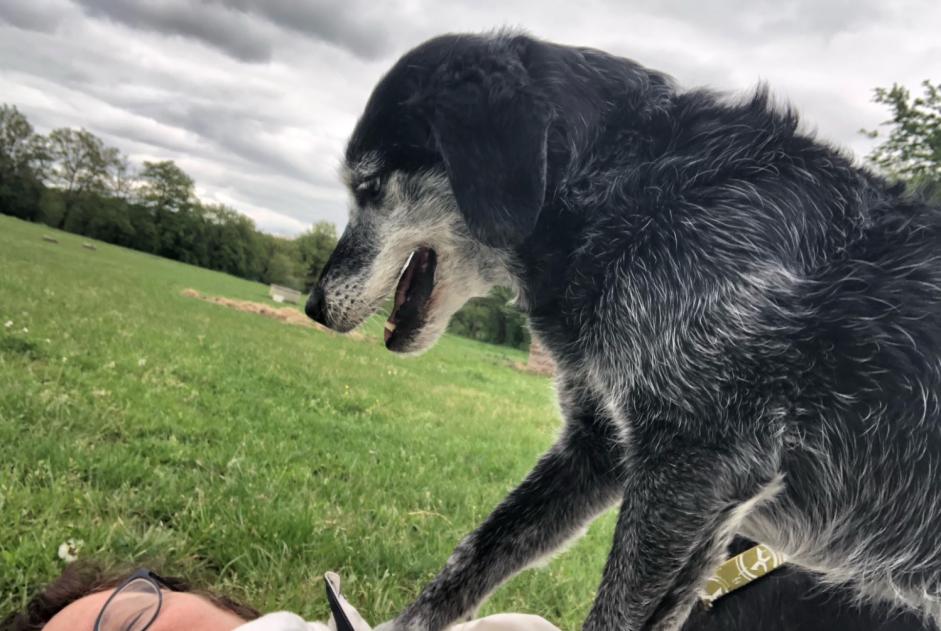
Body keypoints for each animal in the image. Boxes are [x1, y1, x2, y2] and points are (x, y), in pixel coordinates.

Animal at [304, 30, 936, 631]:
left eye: (368, 187)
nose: (312, 306)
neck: (630, 185)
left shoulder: (693, 464)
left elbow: (612, 615)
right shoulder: (599, 449)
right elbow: (473, 558)